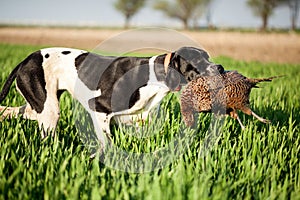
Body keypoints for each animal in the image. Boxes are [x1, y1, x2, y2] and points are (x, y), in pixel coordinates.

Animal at [0, 46, 224, 150]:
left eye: (208, 56)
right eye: (197, 60)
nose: (220, 67)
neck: (154, 75)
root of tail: (25, 60)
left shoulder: (136, 121)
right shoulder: (99, 109)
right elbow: (107, 145)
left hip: (39, 106)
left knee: (13, 110)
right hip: (49, 111)